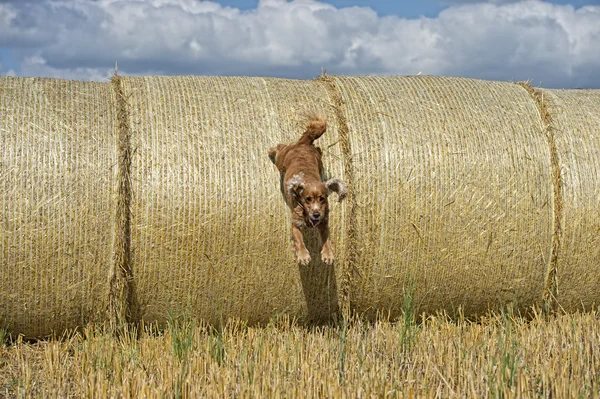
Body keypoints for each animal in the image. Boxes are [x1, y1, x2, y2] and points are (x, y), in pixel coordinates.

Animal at [268, 115, 346, 266]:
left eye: (322, 199)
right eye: (307, 199)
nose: (316, 214)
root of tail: (304, 143)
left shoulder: (324, 223)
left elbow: (326, 239)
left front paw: (328, 255)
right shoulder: (295, 224)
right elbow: (299, 240)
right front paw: (303, 256)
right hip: (281, 160)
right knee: (280, 147)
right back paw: (271, 150)